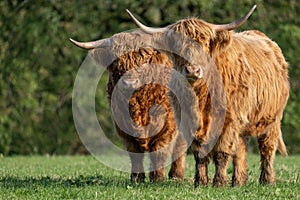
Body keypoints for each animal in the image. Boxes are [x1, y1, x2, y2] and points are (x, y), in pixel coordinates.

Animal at [127, 4, 290, 187]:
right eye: (177, 45)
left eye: (204, 44)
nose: (192, 70)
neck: (201, 98)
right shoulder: (191, 119)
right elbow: (200, 153)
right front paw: (201, 181)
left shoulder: (229, 120)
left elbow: (222, 151)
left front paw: (219, 182)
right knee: (241, 149)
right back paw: (238, 181)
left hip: (273, 119)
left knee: (267, 148)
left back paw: (267, 180)